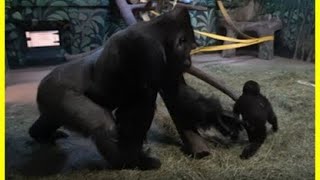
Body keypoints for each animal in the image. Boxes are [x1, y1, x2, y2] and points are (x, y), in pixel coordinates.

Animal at [28, 7, 198, 170]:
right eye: (189, 48)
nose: (189, 62)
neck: (155, 30)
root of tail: (43, 82)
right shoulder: (149, 50)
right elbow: (143, 106)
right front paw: (136, 160)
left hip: (50, 101)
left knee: (50, 118)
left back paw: (38, 134)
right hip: (57, 92)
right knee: (103, 126)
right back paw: (123, 162)